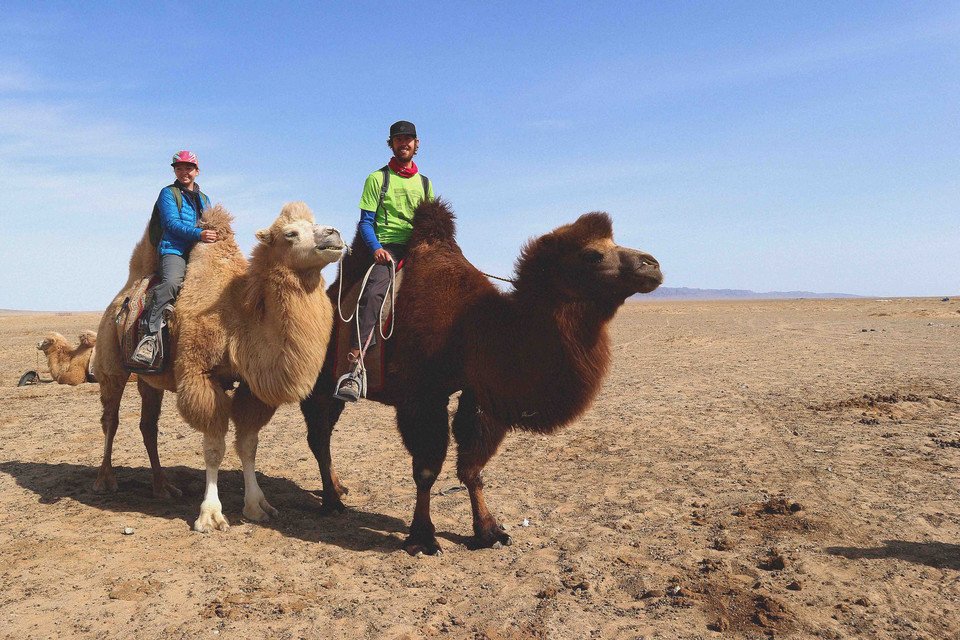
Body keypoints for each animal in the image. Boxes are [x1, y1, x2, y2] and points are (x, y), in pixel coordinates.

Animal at [93, 202, 345, 532]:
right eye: (290, 233)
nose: (334, 233)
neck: (239, 320)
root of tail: (123, 294)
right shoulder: (199, 374)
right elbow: (214, 448)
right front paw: (210, 515)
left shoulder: (252, 386)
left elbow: (248, 444)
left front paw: (257, 506)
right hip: (111, 363)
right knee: (110, 419)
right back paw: (105, 480)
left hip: (149, 380)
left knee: (148, 426)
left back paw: (163, 487)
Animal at [300, 198, 662, 554]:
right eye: (592, 254)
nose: (652, 264)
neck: (473, 328)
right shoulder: (421, 395)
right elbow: (427, 469)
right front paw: (422, 538)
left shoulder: (480, 393)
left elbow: (473, 467)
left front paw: (489, 531)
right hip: (320, 380)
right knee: (319, 435)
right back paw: (331, 502)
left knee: (325, 433)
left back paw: (338, 489)